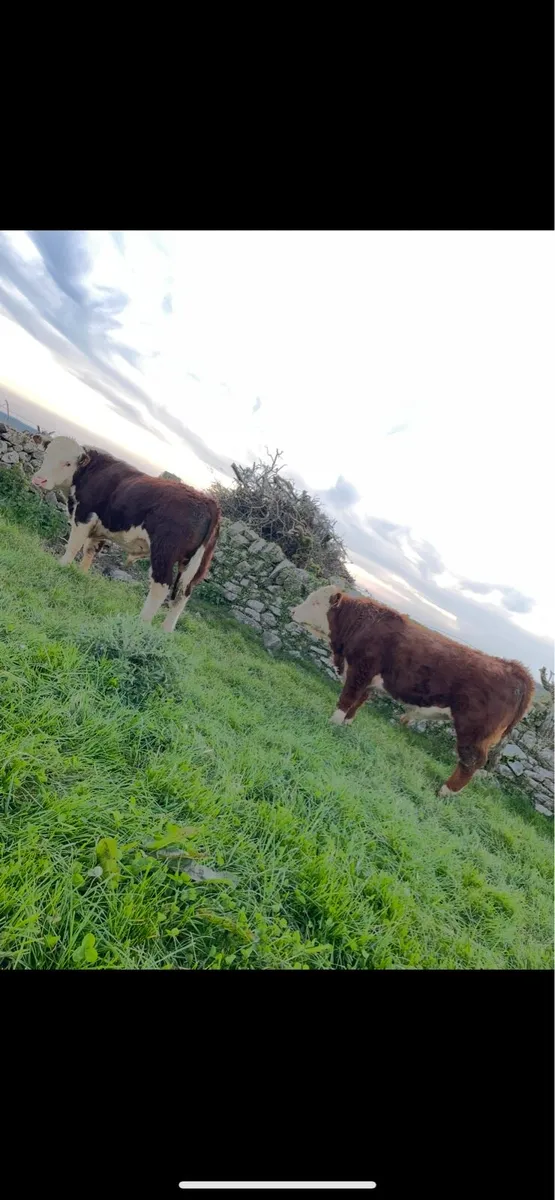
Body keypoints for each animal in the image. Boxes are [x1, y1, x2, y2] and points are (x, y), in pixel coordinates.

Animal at [32, 437, 220, 633]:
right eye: (47, 453)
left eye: (68, 463)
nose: (39, 479)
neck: (89, 472)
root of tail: (208, 501)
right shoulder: (99, 528)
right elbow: (89, 551)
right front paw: (80, 575)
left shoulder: (83, 516)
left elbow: (73, 546)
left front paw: (61, 566)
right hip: (193, 565)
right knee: (183, 595)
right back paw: (166, 631)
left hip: (164, 553)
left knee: (161, 587)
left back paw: (141, 623)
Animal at [291, 584, 535, 797]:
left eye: (316, 602)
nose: (292, 611)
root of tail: (512, 668)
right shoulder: (367, 680)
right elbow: (357, 703)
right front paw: (346, 724)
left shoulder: (359, 672)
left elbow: (346, 699)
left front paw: (332, 723)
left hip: (474, 730)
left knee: (471, 761)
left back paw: (445, 791)